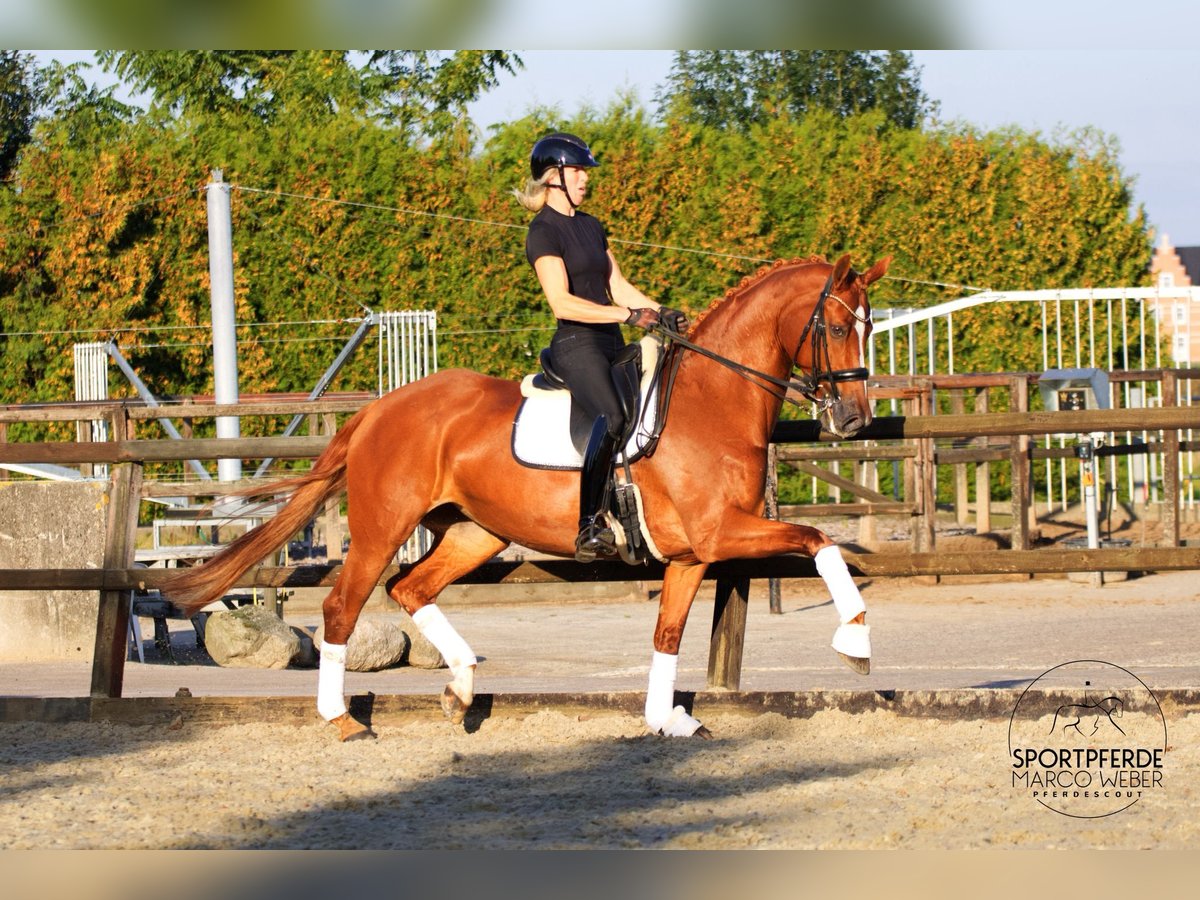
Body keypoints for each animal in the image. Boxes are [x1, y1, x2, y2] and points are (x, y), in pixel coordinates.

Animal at [160, 252, 892, 741]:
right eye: (835, 326)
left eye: (869, 326)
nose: (854, 419)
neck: (709, 401)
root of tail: (376, 410)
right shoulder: (721, 531)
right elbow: (822, 543)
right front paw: (856, 643)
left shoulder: (691, 554)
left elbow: (668, 633)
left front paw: (665, 719)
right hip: (383, 526)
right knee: (345, 606)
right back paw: (342, 719)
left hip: (474, 532)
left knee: (410, 589)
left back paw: (460, 687)